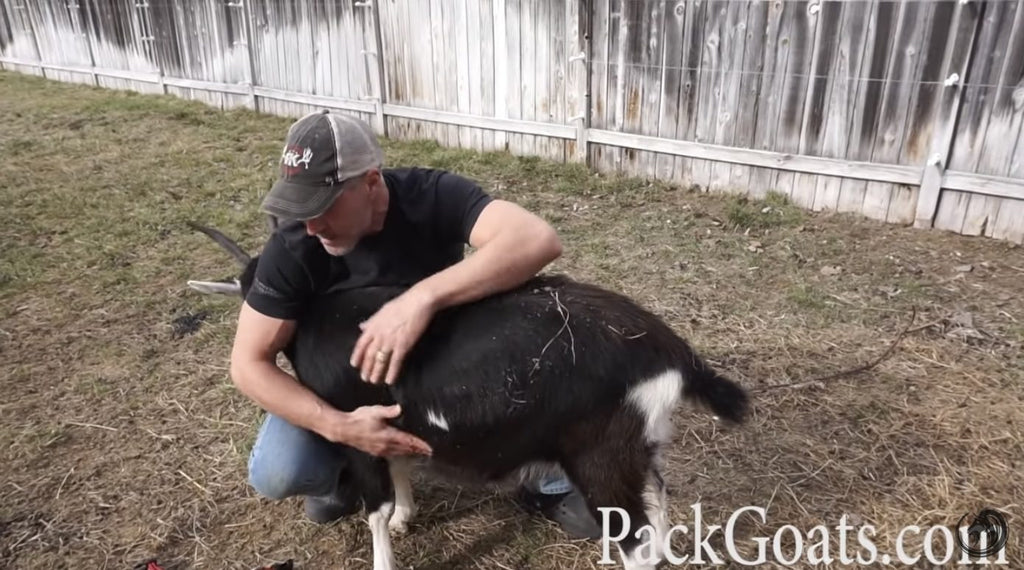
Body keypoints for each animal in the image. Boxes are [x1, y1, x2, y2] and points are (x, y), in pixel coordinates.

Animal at [186, 222, 750, 570]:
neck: (315, 317)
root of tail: (671, 353)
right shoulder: (389, 421)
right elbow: (400, 467)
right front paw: (407, 516)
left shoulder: (355, 426)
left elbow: (375, 507)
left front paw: (387, 546)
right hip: (641, 445)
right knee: (658, 506)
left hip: (600, 455)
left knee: (637, 541)